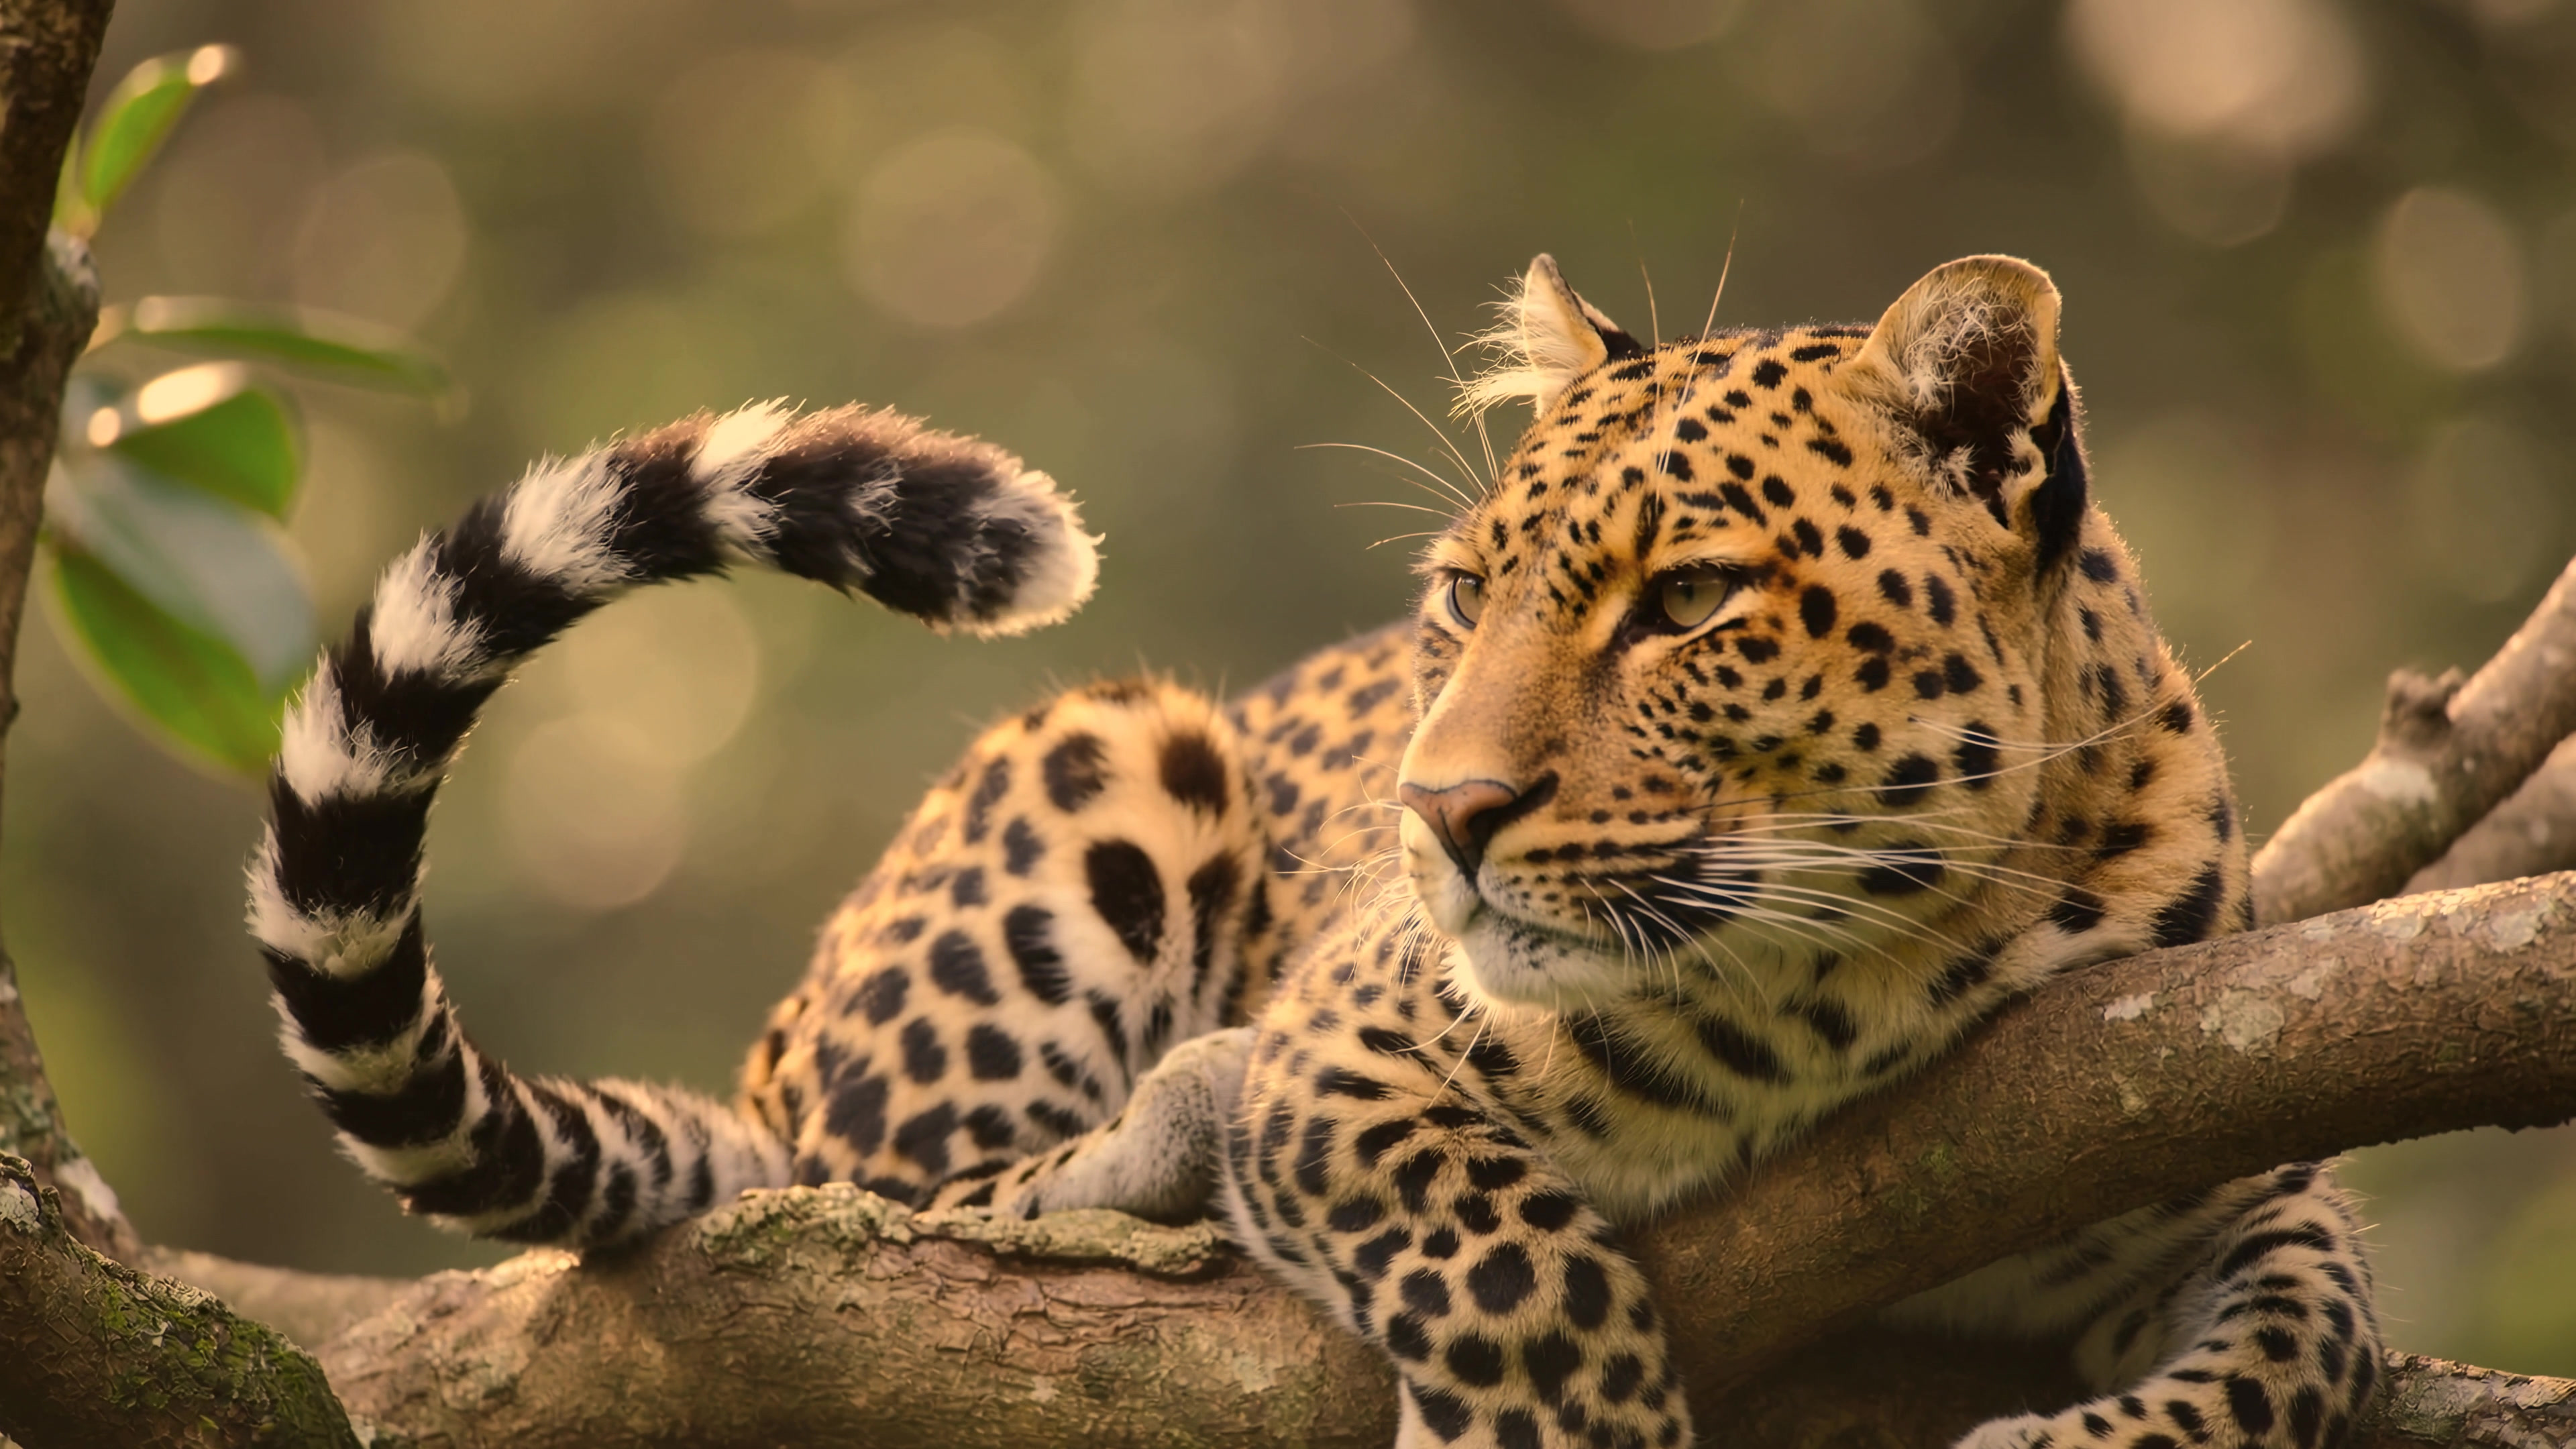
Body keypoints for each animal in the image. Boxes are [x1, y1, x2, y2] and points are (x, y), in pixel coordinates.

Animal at [248, 254, 2381, 1449]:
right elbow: (1514, 1265)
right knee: (886, 1206)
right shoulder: (1349, 1059)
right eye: (1462, 594)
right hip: (1103, 759)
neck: (1866, 967)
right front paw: (1563, 1428)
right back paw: (1145, 1128)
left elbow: (2313, 1336)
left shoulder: (2208, 1101)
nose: (1436, 820)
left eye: (1689, 600)